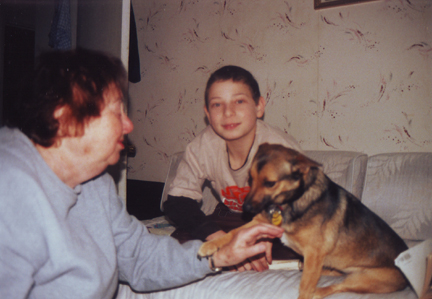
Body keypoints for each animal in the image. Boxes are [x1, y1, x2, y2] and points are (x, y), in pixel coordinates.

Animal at [199, 144, 408, 298]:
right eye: (250, 179)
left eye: (270, 183)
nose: (247, 209)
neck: (290, 203)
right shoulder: (260, 221)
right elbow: (233, 232)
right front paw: (210, 245)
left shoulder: (314, 254)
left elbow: (305, 288)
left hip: (365, 280)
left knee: (337, 286)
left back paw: (319, 290)